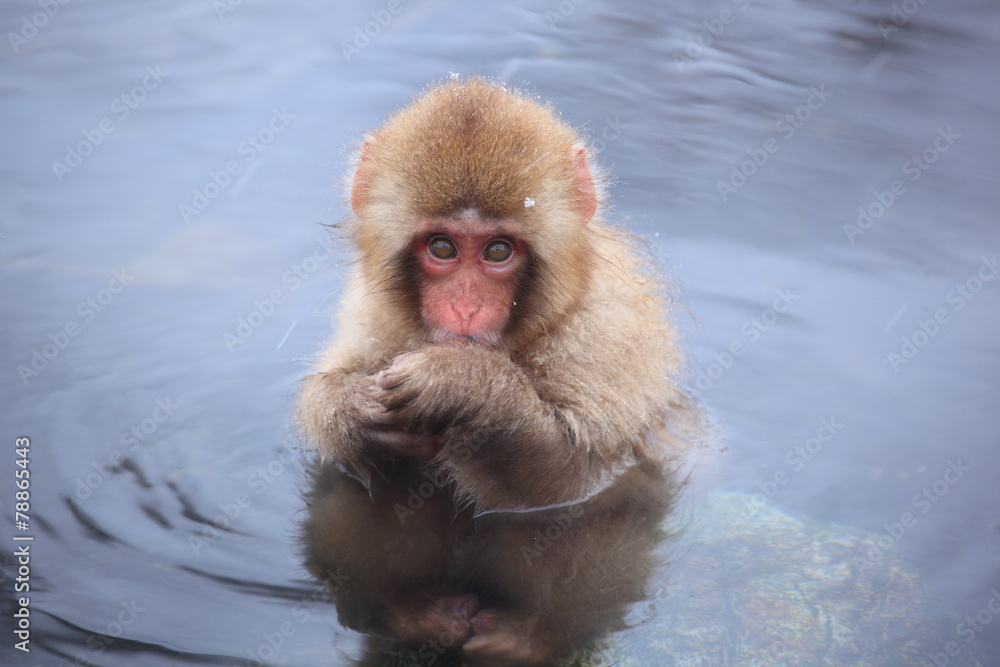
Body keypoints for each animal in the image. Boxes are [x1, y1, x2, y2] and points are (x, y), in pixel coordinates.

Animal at [297, 78, 694, 665]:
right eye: (442, 247)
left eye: (498, 251)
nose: (464, 308)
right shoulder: (372, 315)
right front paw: (349, 410)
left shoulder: (607, 332)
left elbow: (575, 482)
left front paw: (464, 385)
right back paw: (408, 611)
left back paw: (534, 637)